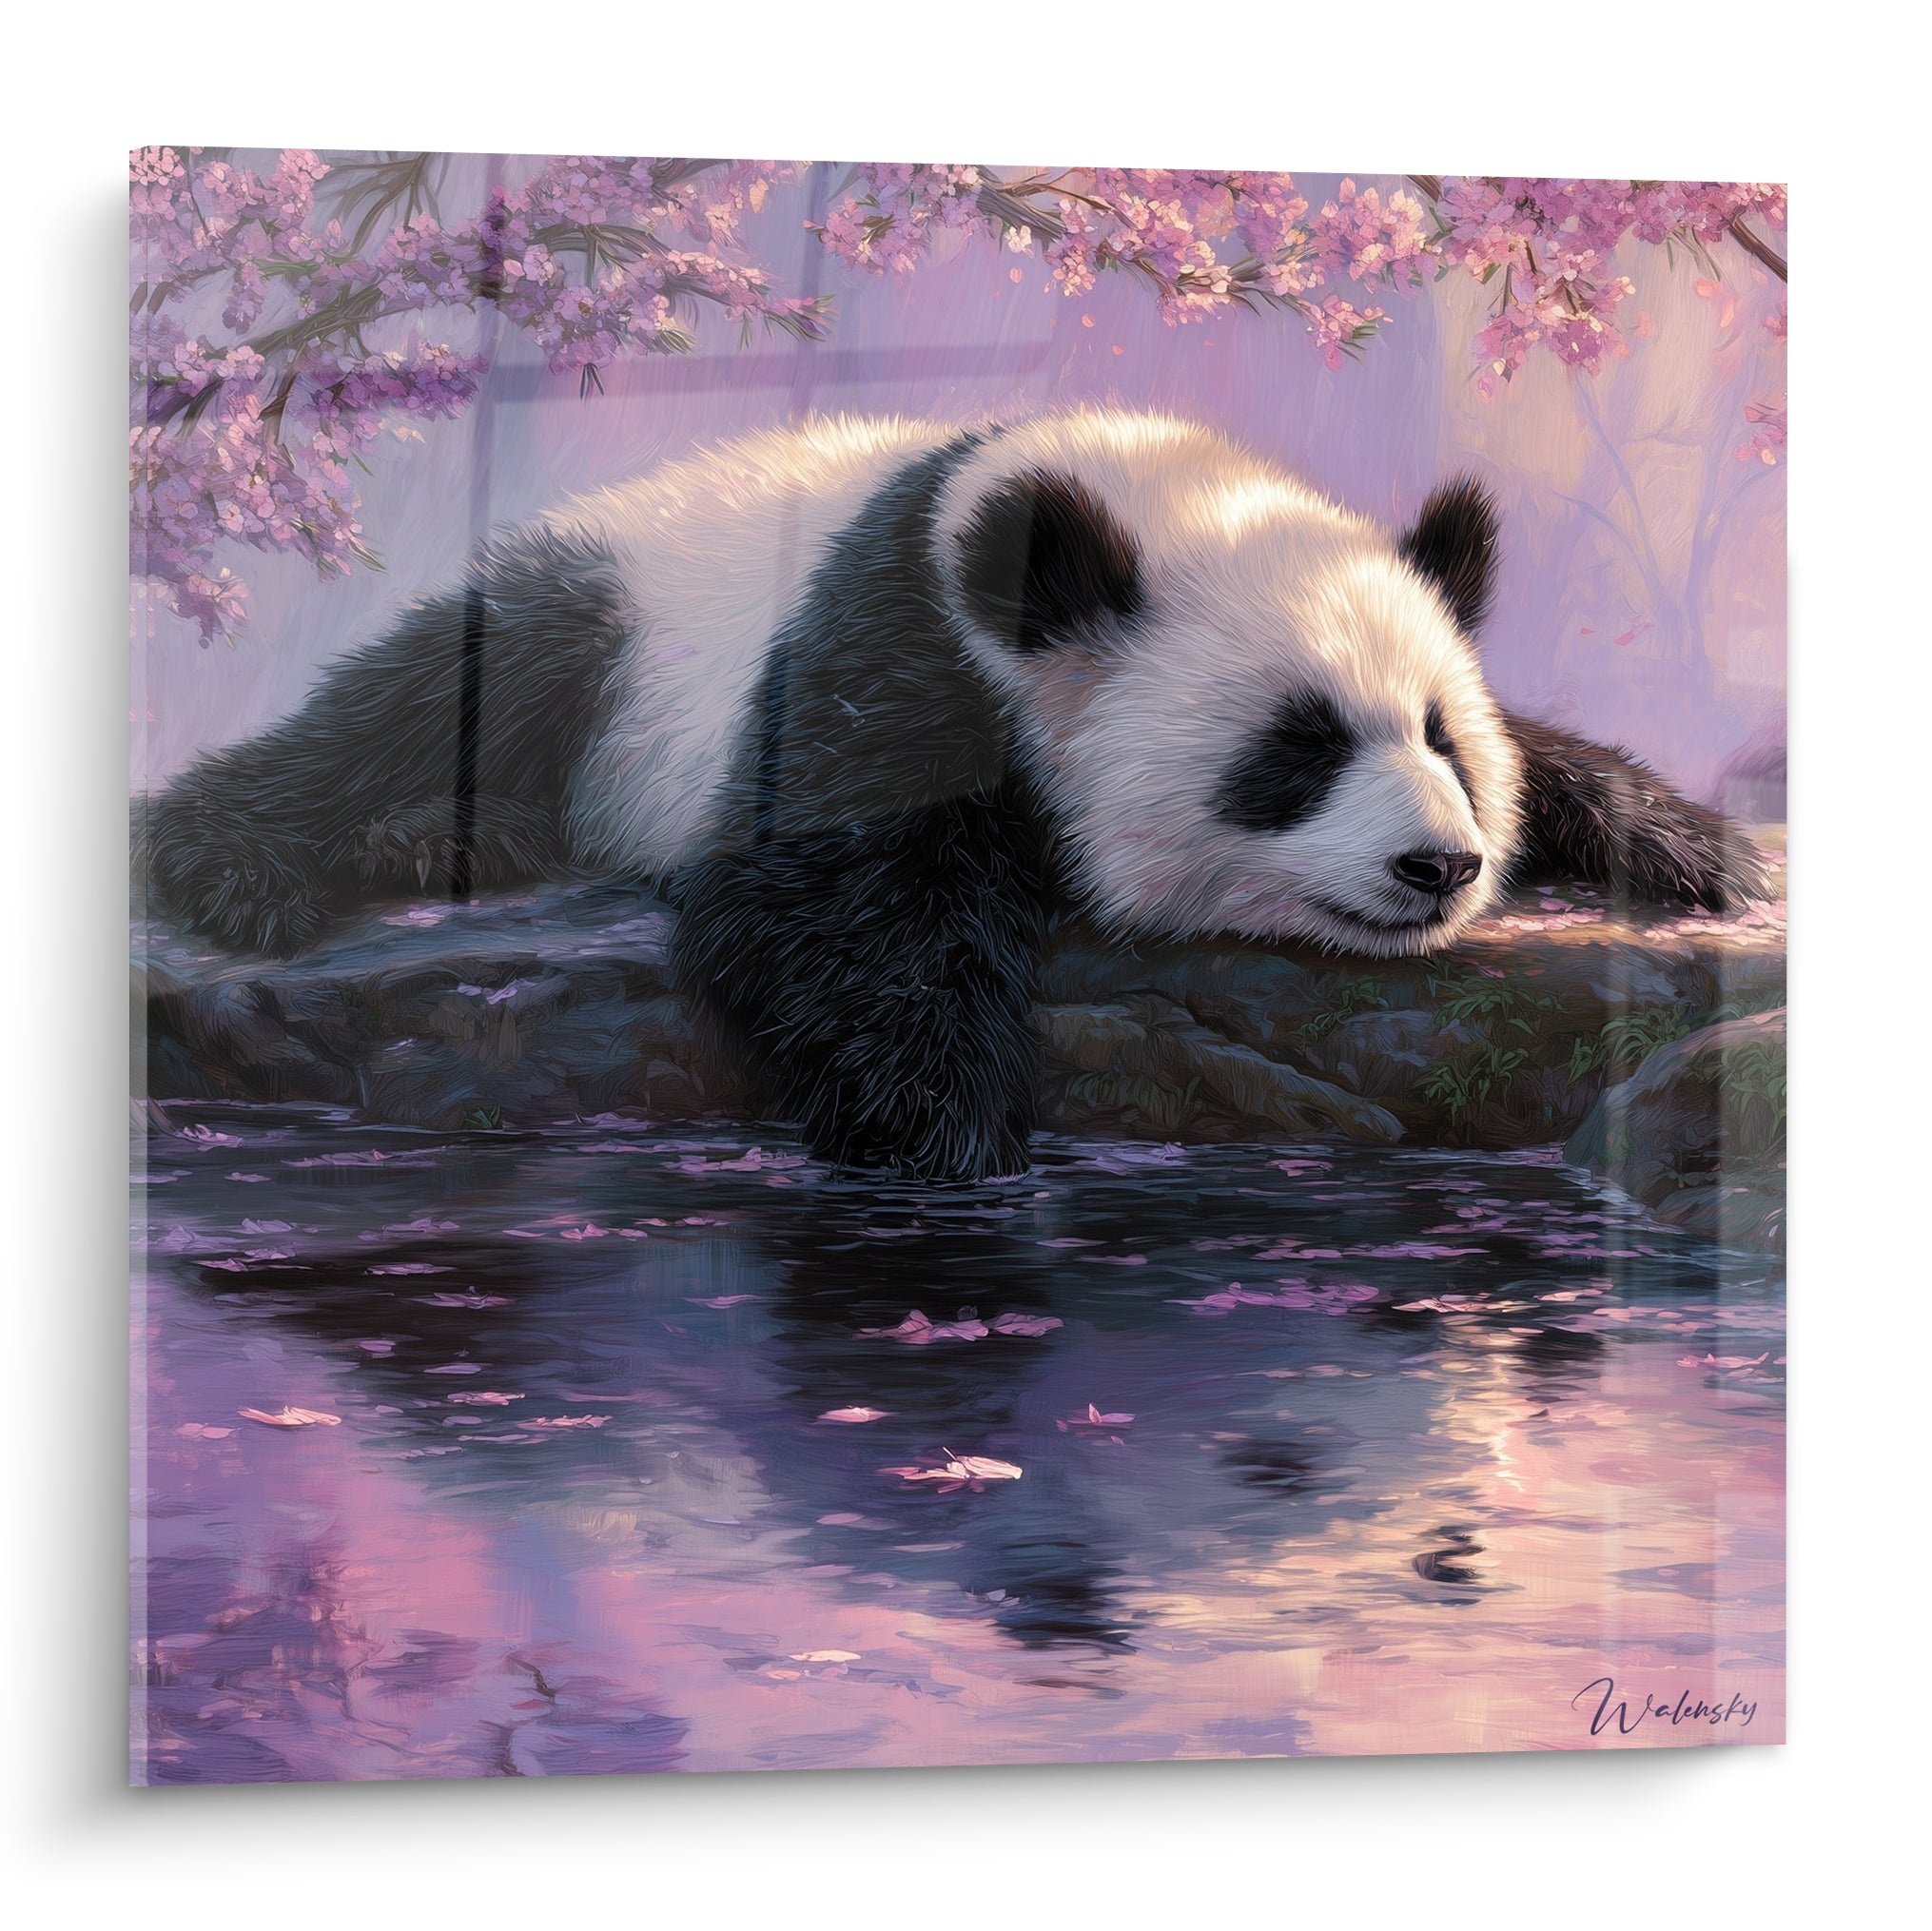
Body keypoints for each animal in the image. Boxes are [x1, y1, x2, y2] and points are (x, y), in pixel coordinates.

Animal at [147, 409, 1765, 1181]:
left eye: (1441, 738)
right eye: (1291, 749)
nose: (1439, 866)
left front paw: (1691, 847)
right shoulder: (888, 641)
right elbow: (824, 897)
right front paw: (949, 1136)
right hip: (609, 616)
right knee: (426, 698)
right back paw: (259, 855)